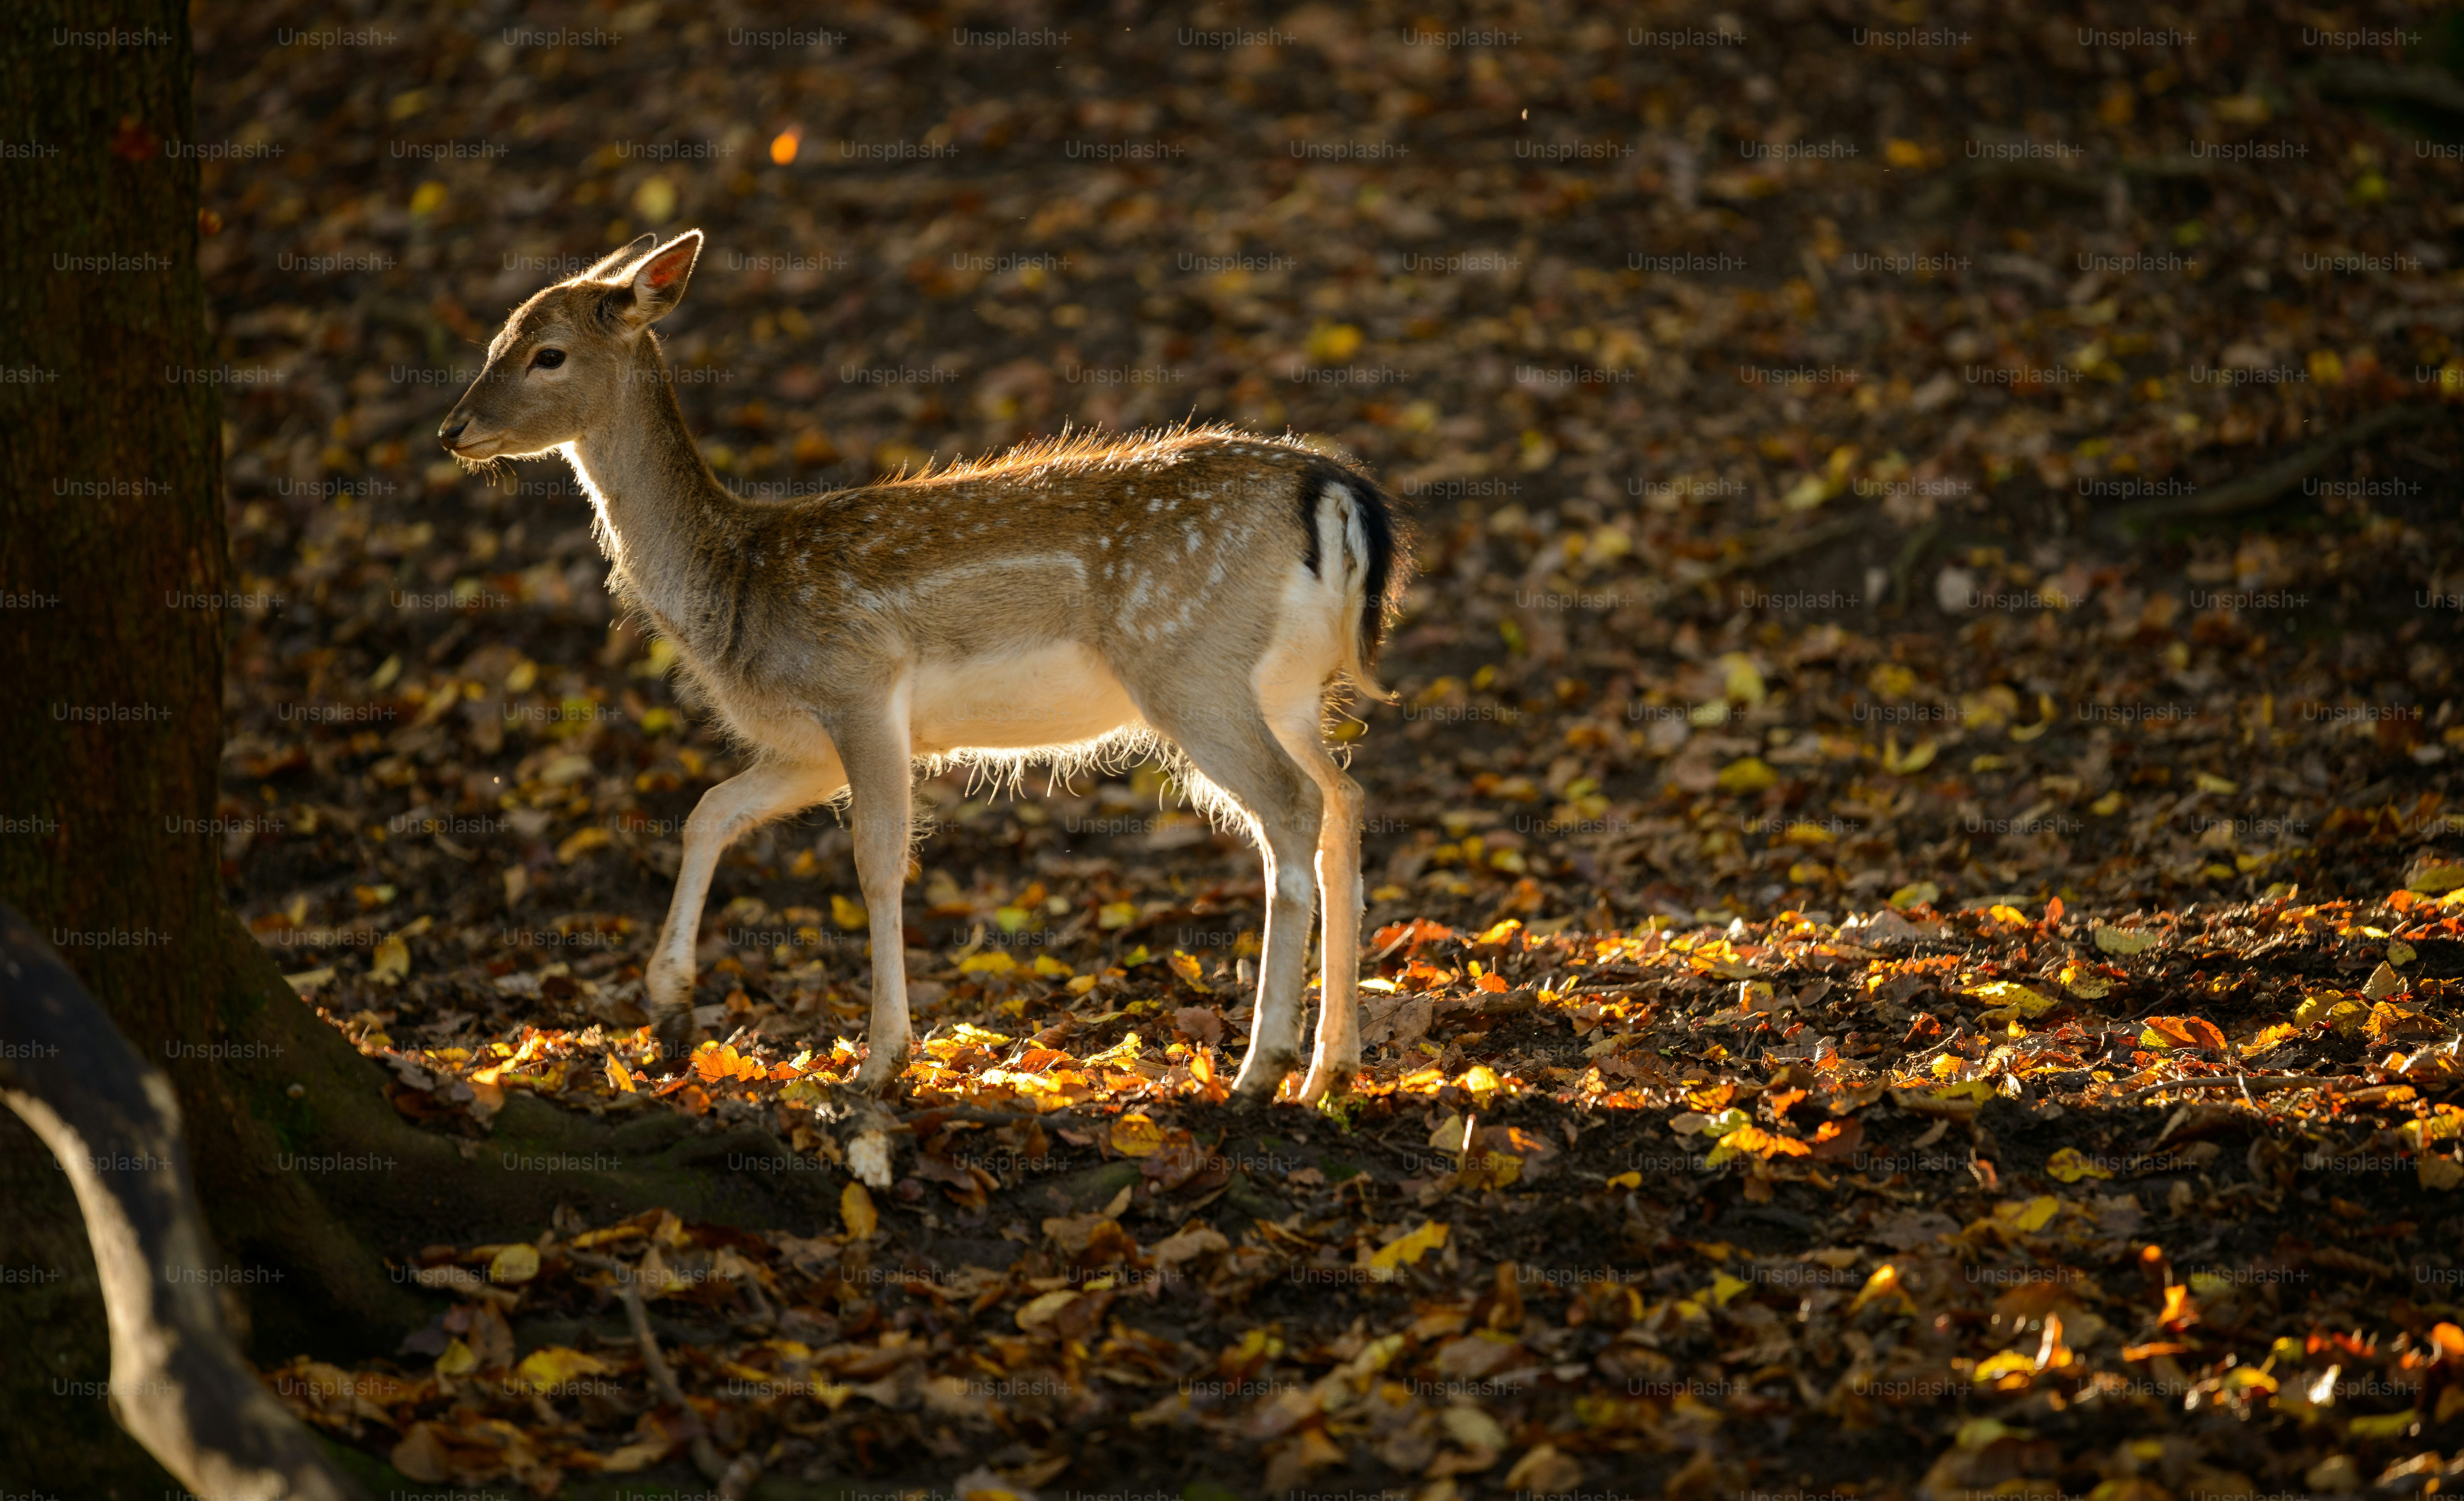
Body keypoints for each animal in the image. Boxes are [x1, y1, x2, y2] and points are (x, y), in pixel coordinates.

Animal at [438, 230, 1404, 1105]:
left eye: (548, 353)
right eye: (493, 342)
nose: (453, 429)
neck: (735, 586)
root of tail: (1336, 493)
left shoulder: (857, 686)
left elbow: (876, 861)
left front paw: (880, 1061)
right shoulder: (808, 745)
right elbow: (708, 812)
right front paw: (669, 1006)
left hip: (1187, 663)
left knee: (1292, 805)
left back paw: (1260, 1070)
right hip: (1281, 687)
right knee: (1344, 801)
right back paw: (1331, 1068)